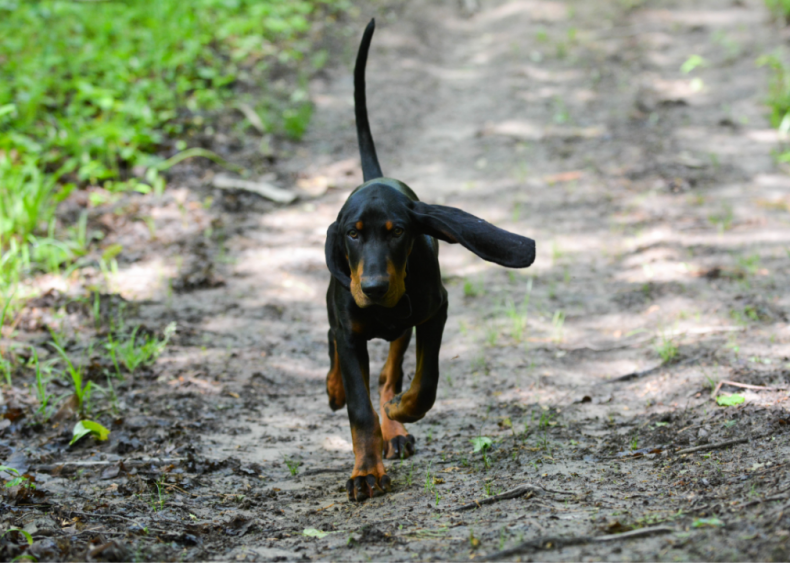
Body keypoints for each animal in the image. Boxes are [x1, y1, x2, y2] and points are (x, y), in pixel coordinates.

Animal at [324, 18, 540, 502]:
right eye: (352, 234)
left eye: (398, 232)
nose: (374, 289)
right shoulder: (350, 330)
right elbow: (359, 409)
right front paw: (366, 472)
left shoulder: (434, 310)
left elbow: (424, 382)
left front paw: (401, 411)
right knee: (334, 344)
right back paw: (335, 388)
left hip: (404, 325)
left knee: (389, 374)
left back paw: (395, 425)